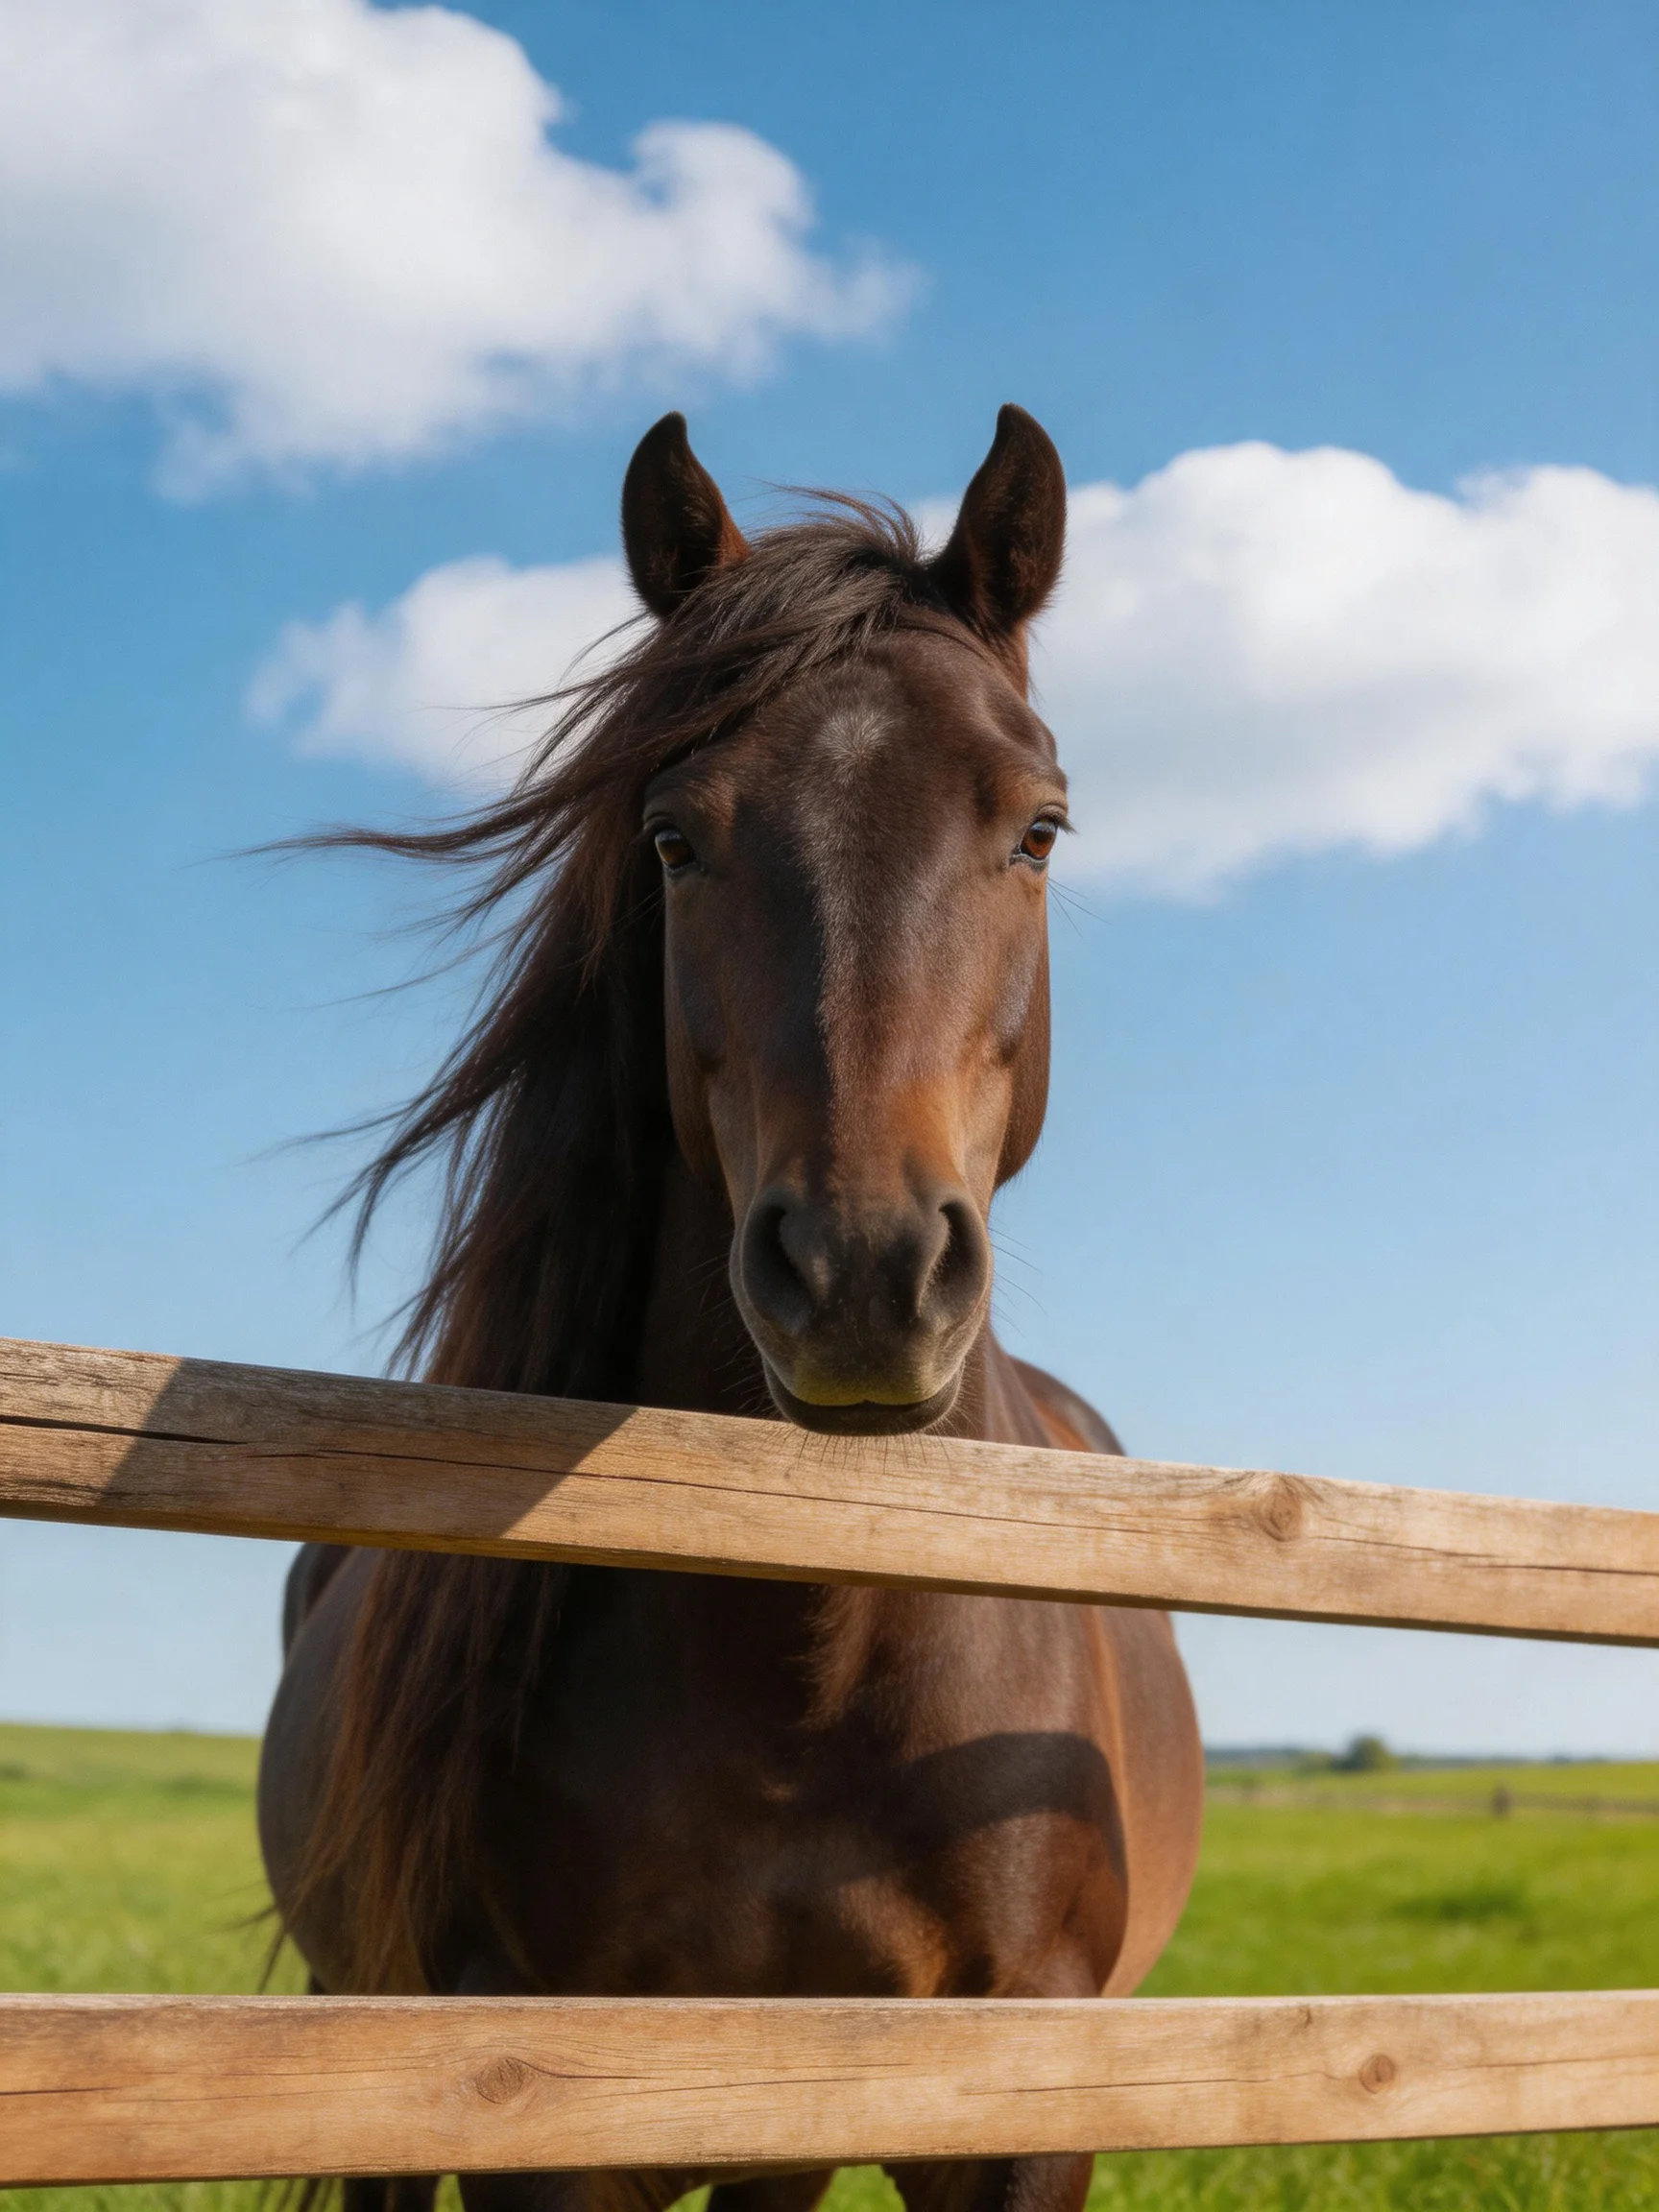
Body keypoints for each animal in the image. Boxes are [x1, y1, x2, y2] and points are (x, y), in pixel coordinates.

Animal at [258, 405, 1204, 2212]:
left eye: (1037, 827)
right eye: (674, 837)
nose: (862, 1272)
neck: (804, 1668)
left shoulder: (1013, 2107)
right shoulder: (536, 2105)